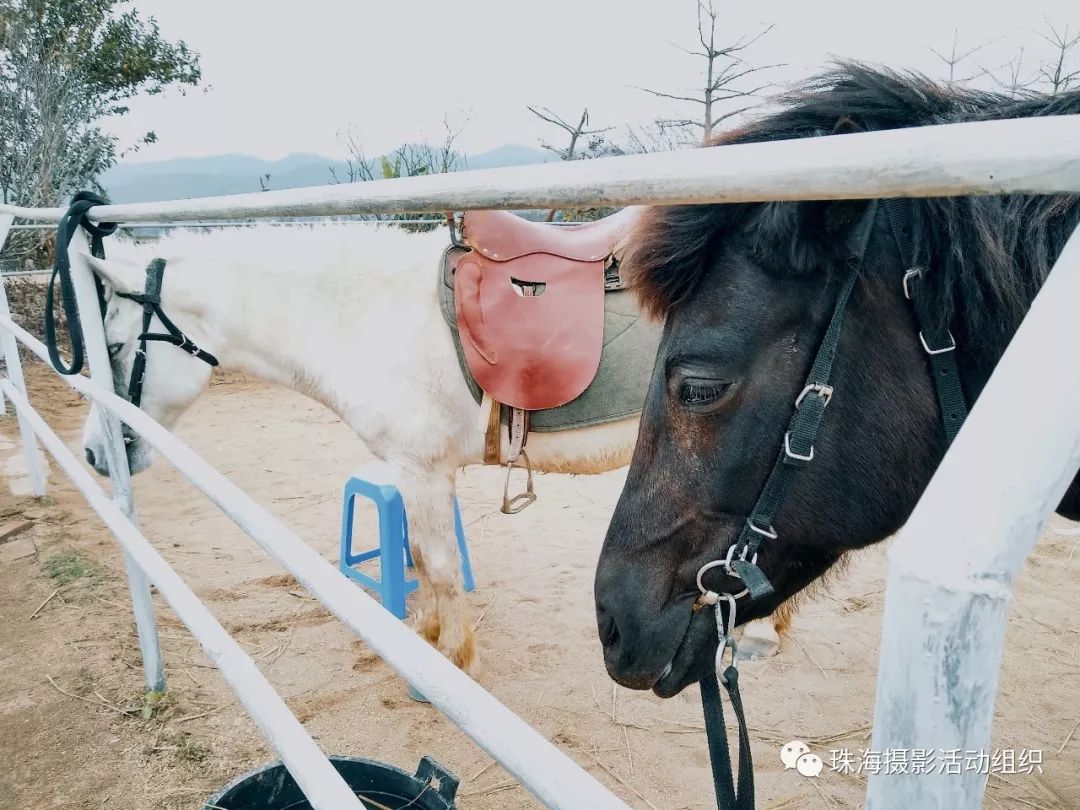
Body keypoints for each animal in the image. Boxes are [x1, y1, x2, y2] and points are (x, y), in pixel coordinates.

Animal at [76, 220, 786, 673]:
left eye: (112, 346)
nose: (92, 455)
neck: (367, 316)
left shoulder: (421, 471)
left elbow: (438, 565)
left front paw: (452, 658)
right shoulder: (415, 474)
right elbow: (420, 557)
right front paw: (427, 632)